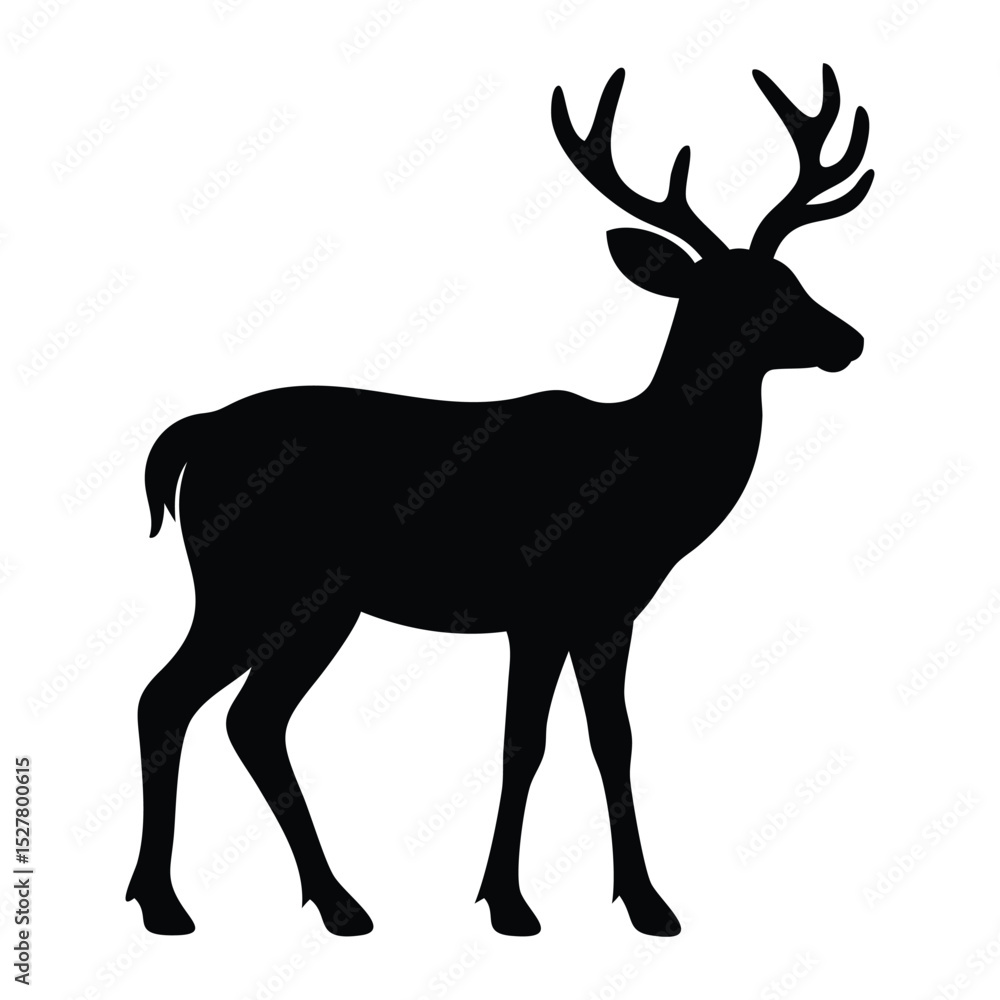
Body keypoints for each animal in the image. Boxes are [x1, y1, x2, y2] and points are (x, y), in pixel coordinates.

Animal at [126, 64, 872, 939]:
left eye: (791, 278)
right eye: (733, 296)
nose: (849, 340)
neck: (646, 480)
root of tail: (194, 436)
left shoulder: (607, 613)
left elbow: (610, 740)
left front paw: (642, 903)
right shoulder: (541, 603)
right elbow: (528, 743)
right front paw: (512, 903)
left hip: (288, 599)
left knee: (226, 713)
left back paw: (277, 899)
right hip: (262, 584)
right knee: (191, 704)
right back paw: (219, 902)